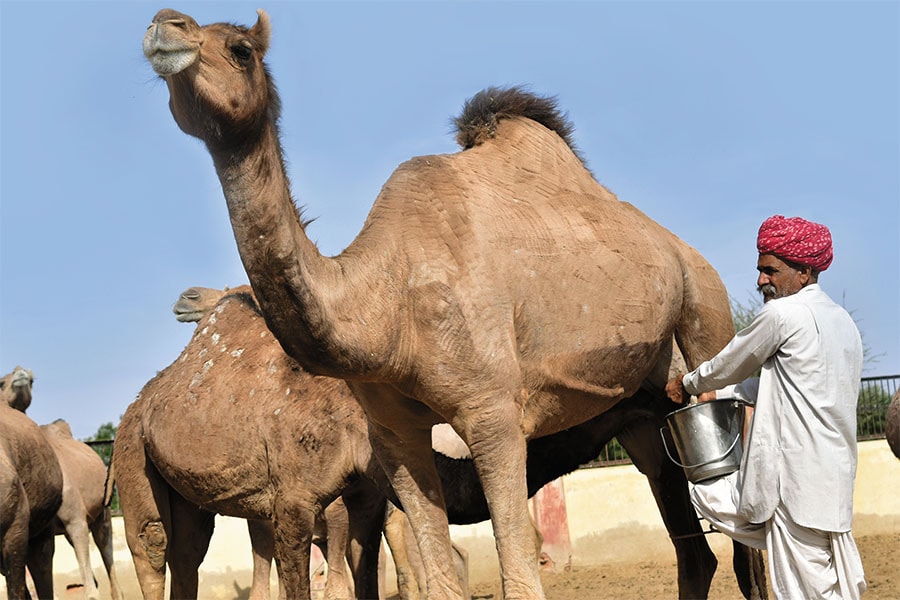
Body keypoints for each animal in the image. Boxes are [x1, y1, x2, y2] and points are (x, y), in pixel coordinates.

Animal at [146, 10, 752, 600]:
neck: (386, 310)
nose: (164, 25)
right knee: (694, 551)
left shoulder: (493, 412)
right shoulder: (394, 437)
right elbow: (438, 580)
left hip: (707, 312)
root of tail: (684, 251)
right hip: (645, 412)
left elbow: (520, 580)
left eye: (241, 48)